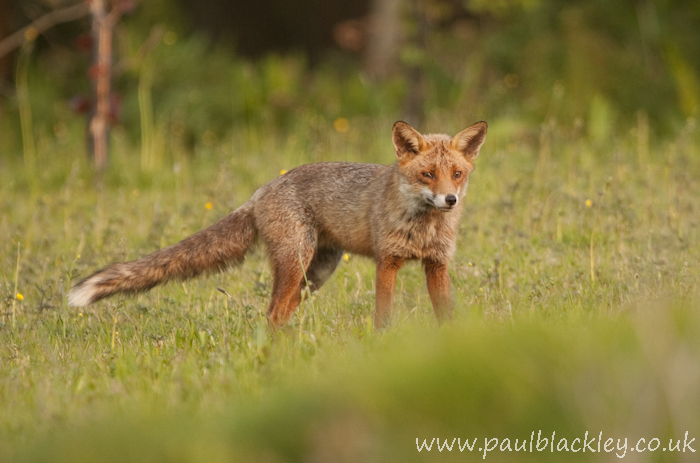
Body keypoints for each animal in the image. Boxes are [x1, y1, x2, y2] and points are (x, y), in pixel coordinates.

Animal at [68, 120, 487, 328]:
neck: (424, 226)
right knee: (271, 313)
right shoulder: (389, 261)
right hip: (296, 262)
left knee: (281, 314)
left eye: (456, 174)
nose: (449, 200)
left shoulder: (437, 264)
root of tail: (261, 190)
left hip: (315, 273)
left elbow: (446, 315)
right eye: (427, 175)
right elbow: (383, 316)